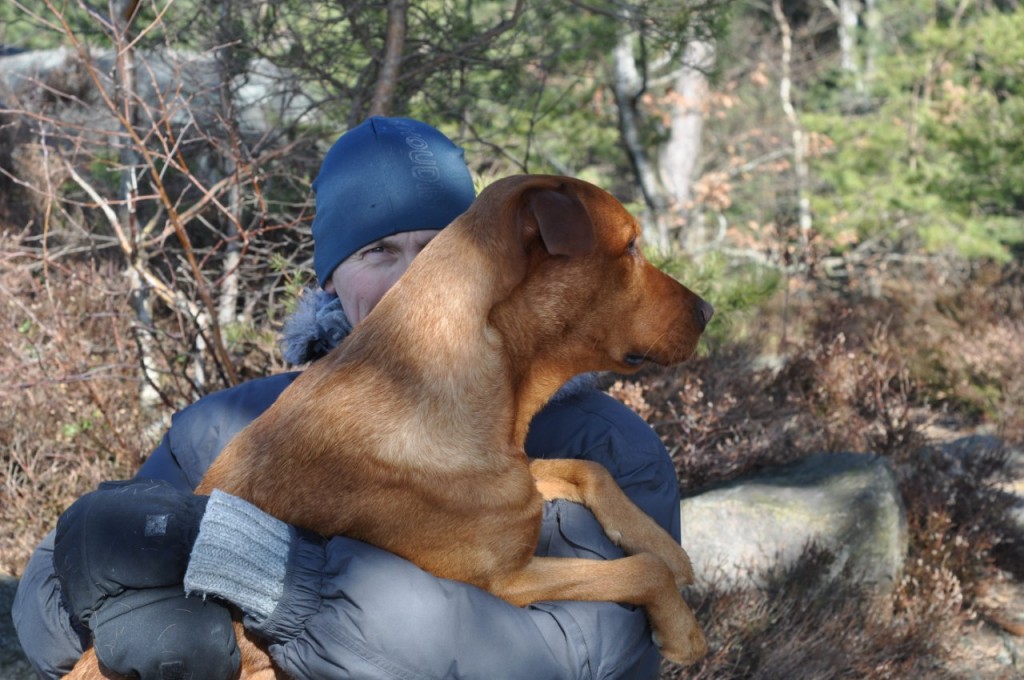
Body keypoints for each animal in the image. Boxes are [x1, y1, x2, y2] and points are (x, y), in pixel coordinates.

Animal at [66, 173, 712, 675]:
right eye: (630, 248)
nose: (709, 310)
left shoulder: (518, 484)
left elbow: (592, 472)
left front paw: (664, 543)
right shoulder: (507, 582)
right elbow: (638, 570)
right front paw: (682, 630)